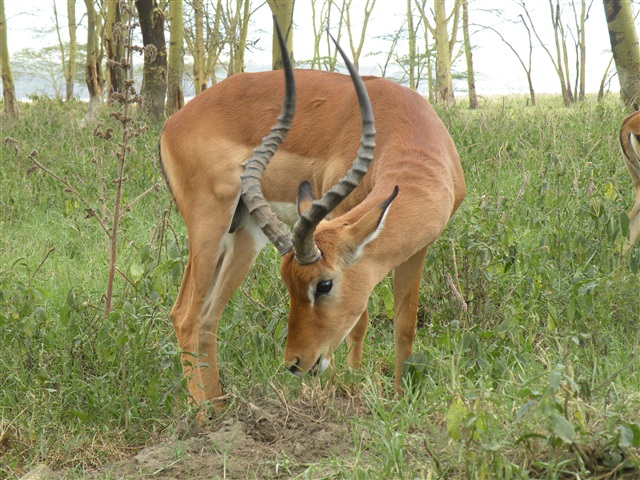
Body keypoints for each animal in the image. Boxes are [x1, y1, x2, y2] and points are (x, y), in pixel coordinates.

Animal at [158, 24, 466, 408]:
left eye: (323, 285)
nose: (294, 363)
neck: (412, 134)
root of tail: (172, 124)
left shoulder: (416, 249)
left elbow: (404, 327)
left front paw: (396, 399)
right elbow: (359, 323)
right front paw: (347, 387)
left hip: (244, 234)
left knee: (207, 317)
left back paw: (219, 408)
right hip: (208, 224)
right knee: (185, 316)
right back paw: (204, 414)